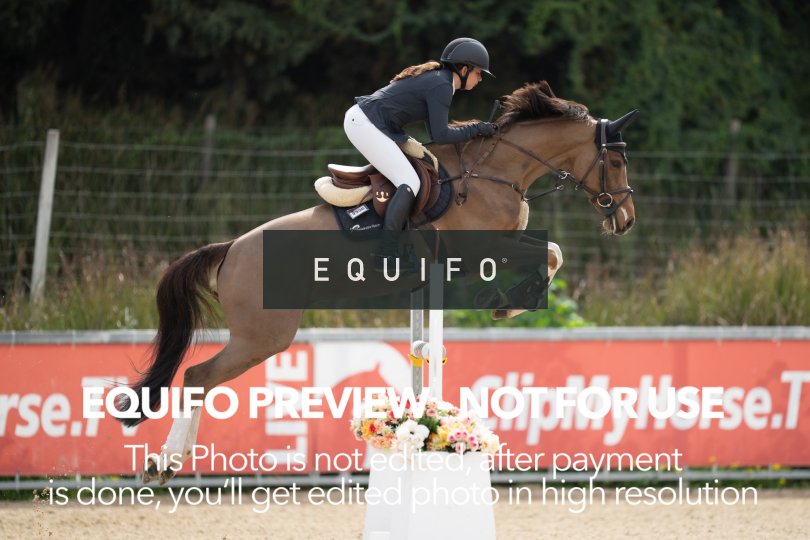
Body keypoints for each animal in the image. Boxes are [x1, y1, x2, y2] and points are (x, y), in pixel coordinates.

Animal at [122, 81, 638, 484]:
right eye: (615, 163)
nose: (626, 219)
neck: (496, 171)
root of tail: (231, 250)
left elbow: (552, 253)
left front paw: (506, 301)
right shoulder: (487, 247)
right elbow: (552, 254)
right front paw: (507, 302)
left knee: (199, 381)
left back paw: (170, 461)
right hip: (263, 336)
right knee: (197, 377)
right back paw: (165, 462)